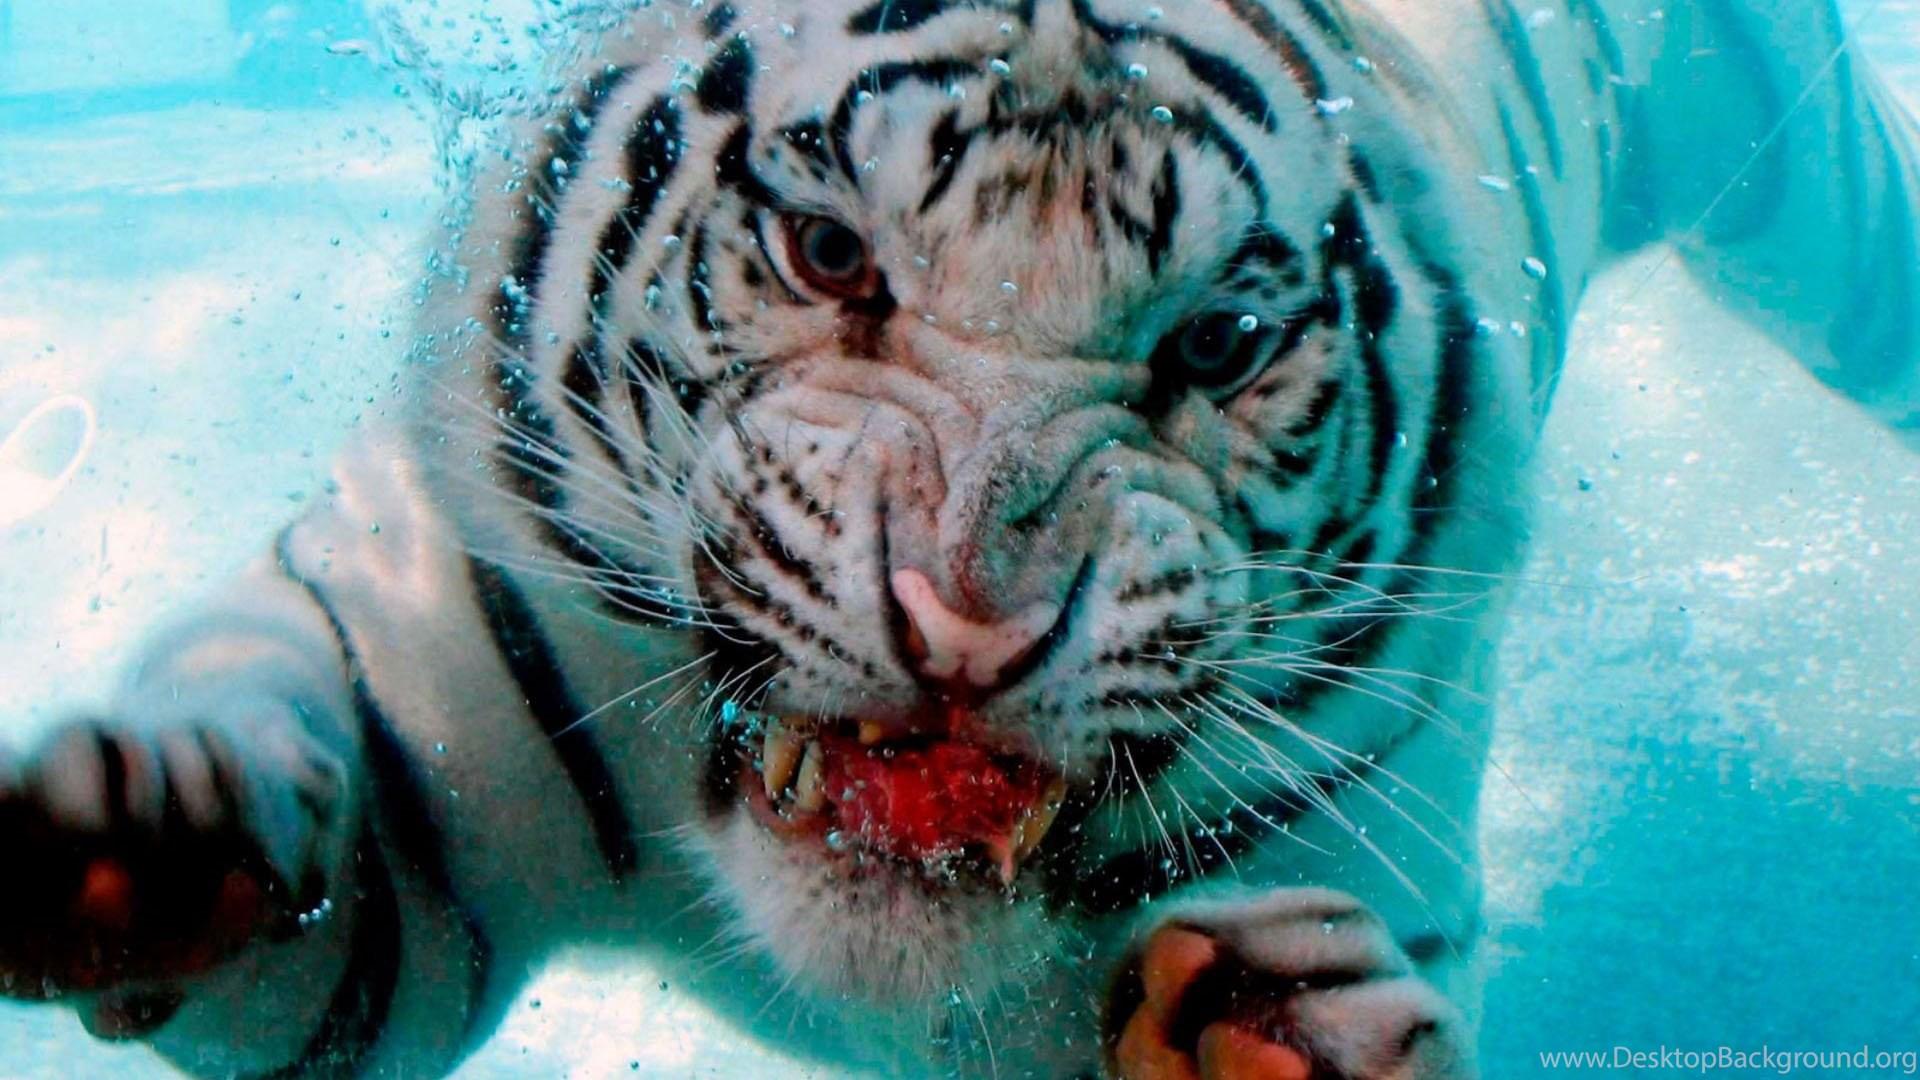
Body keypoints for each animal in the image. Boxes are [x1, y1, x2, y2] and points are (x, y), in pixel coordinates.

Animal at [2, 0, 1915, 1076]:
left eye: (1218, 342)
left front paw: (1278, 1033)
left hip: (1797, 176)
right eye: (831, 253)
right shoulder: (430, 718)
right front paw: (142, 836)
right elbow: (293, 829)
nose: (974, 622)